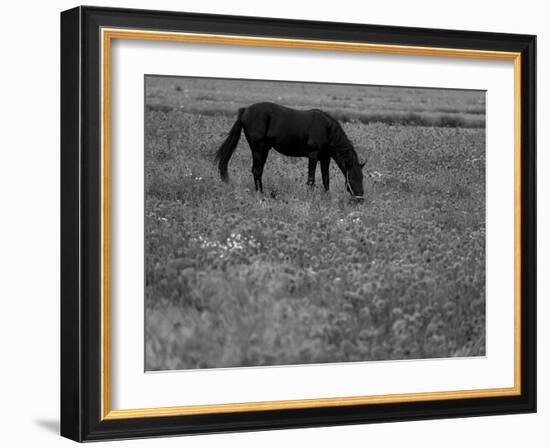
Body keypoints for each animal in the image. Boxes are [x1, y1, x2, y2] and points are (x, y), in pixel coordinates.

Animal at [216, 104, 366, 199]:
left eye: (362, 177)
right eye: (353, 177)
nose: (360, 199)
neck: (326, 129)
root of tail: (245, 110)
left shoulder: (325, 158)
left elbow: (326, 179)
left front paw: (326, 198)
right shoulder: (313, 156)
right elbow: (311, 179)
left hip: (263, 150)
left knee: (258, 171)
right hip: (258, 149)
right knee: (256, 171)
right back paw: (260, 194)